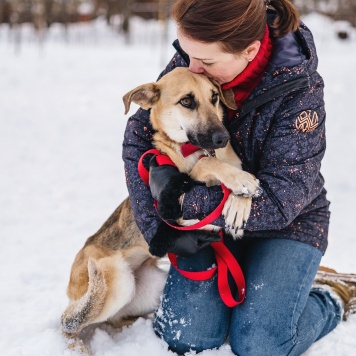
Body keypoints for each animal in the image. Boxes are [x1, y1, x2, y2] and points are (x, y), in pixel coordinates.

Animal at [61, 67, 260, 354]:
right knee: (68, 322)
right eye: (186, 101)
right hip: (117, 281)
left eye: (214, 97)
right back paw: (77, 346)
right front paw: (238, 182)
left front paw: (240, 197)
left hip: (151, 288)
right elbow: (206, 166)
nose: (222, 138)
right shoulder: (181, 213)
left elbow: (234, 177)